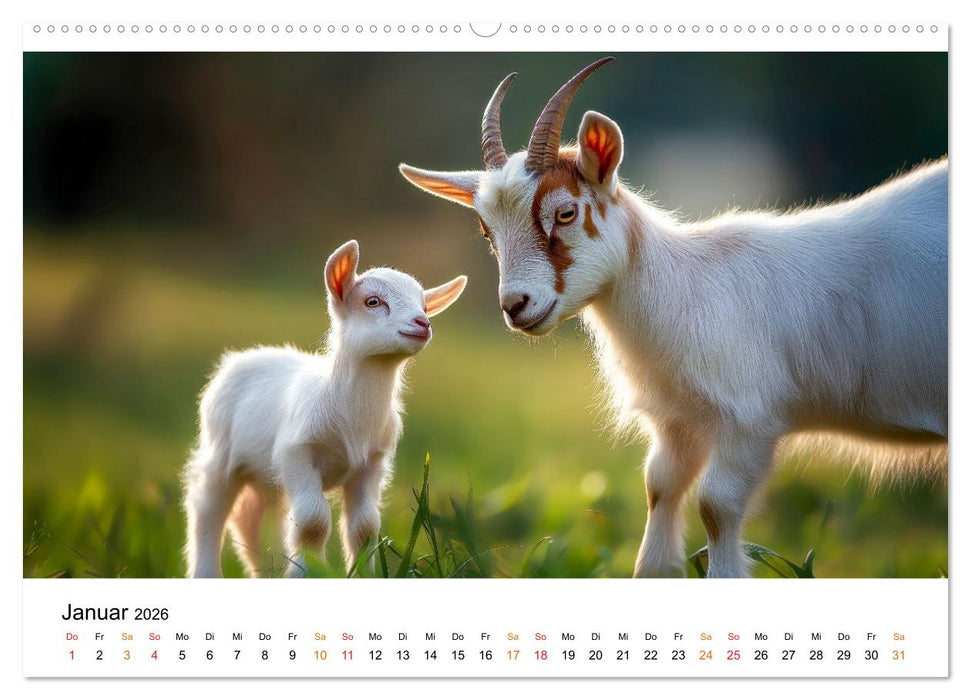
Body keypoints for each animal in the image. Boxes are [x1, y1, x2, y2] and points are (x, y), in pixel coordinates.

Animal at [183, 240, 467, 577]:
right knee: (207, 508)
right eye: (373, 301)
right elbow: (312, 523)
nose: (423, 323)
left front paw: (363, 574)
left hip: (267, 474)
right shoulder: (297, 453)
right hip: (221, 451)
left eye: (423, 305)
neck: (351, 413)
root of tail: (243, 356)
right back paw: (206, 571)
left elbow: (365, 527)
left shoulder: (371, 465)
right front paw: (305, 573)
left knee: (254, 516)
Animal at [399, 57, 947, 578]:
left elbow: (715, 507)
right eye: (487, 231)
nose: (516, 306)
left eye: (565, 213)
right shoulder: (679, 423)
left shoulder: (749, 421)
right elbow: (658, 495)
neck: (690, 286)